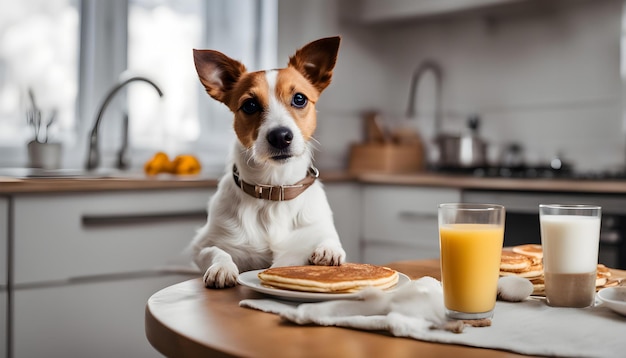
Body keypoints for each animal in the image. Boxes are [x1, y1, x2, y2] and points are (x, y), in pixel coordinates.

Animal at [190, 36, 346, 288]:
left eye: (299, 99)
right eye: (249, 105)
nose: (280, 136)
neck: (274, 187)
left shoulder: (311, 236)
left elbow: (328, 240)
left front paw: (328, 250)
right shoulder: (201, 246)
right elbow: (216, 251)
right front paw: (222, 268)